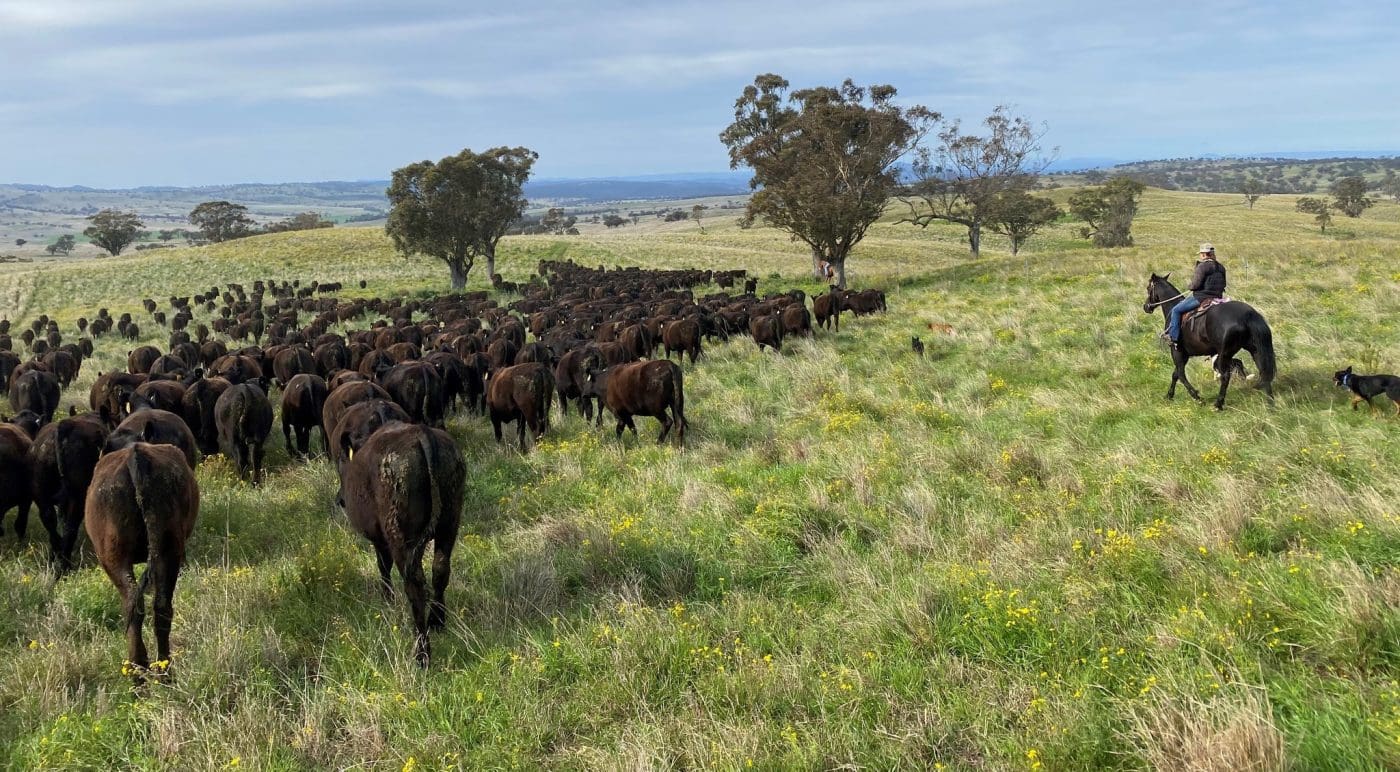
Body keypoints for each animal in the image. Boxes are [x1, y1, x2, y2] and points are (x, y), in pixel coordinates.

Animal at [1142, 274, 1276, 414]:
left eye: (1148, 288)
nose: (1146, 306)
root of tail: (1248, 315)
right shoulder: (1184, 354)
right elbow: (1175, 374)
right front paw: (1169, 395)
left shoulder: (1177, 351)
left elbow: (1180, 375)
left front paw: (1197, 397)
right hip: (1255, 350)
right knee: (1264, 372)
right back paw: (1270, 404)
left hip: (1224, 354)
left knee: (1225, 376)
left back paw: (1218, 404)